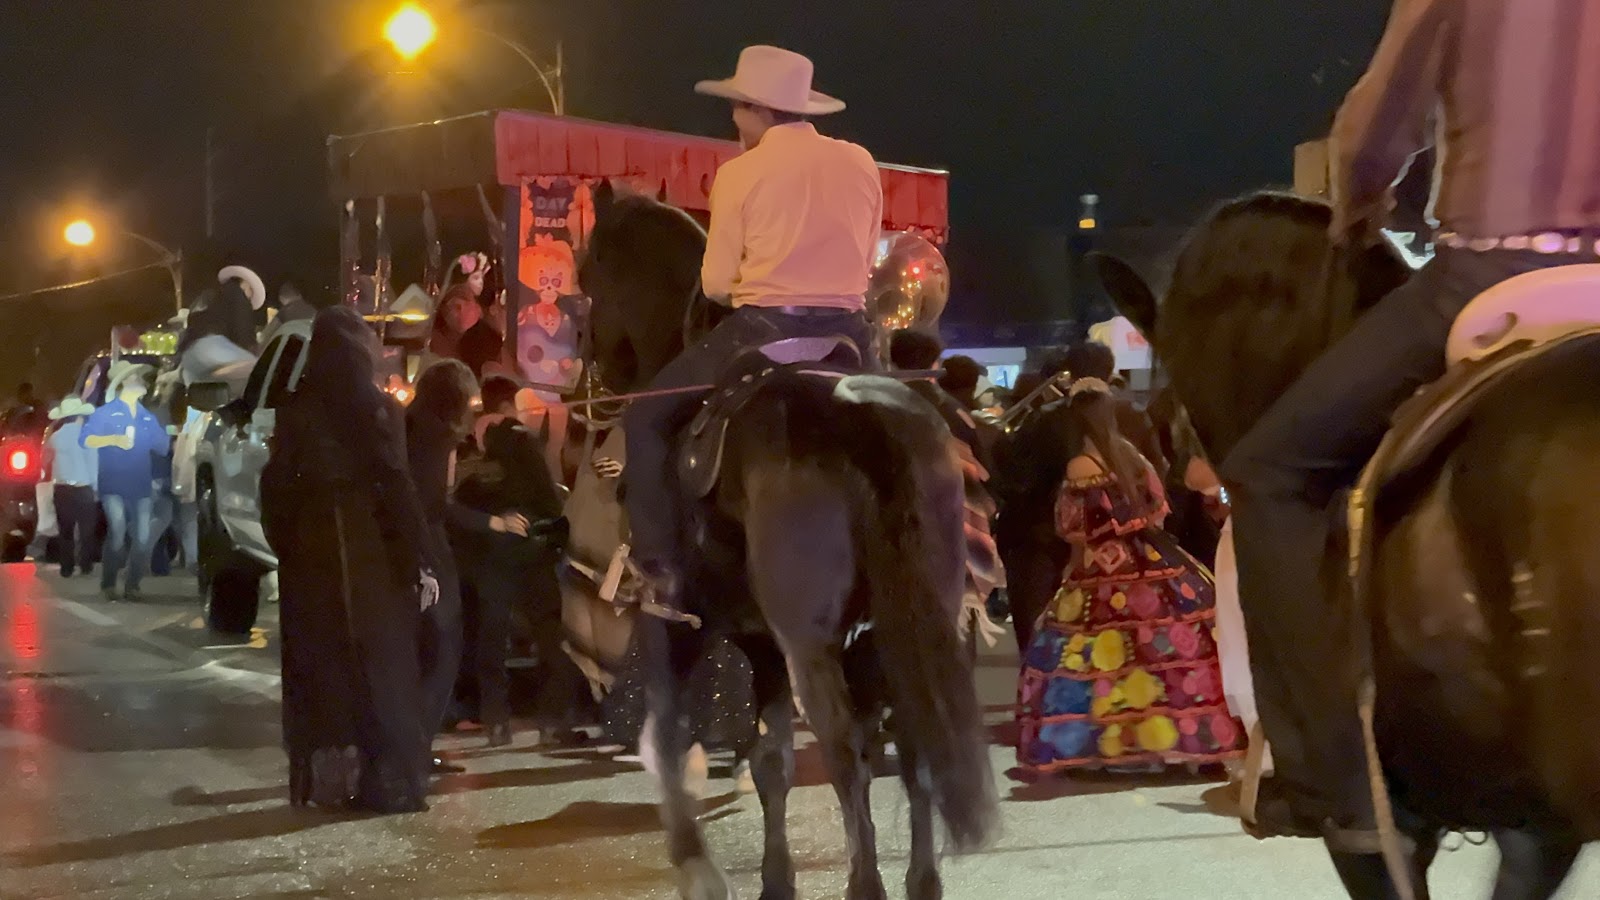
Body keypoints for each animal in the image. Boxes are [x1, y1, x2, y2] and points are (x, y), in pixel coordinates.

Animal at [572, 180, 997, 900]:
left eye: (585, 276)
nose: (592, 395)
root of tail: (859, 411)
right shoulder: (763, 641)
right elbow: (772, 760)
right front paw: (775, 878)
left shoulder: (692, 622)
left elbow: (671, 726)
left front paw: (698, 862)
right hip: (918, 625)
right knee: (915, 746)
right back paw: (919, 880)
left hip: (811, 640)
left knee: (845, 749)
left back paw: (864, 884)